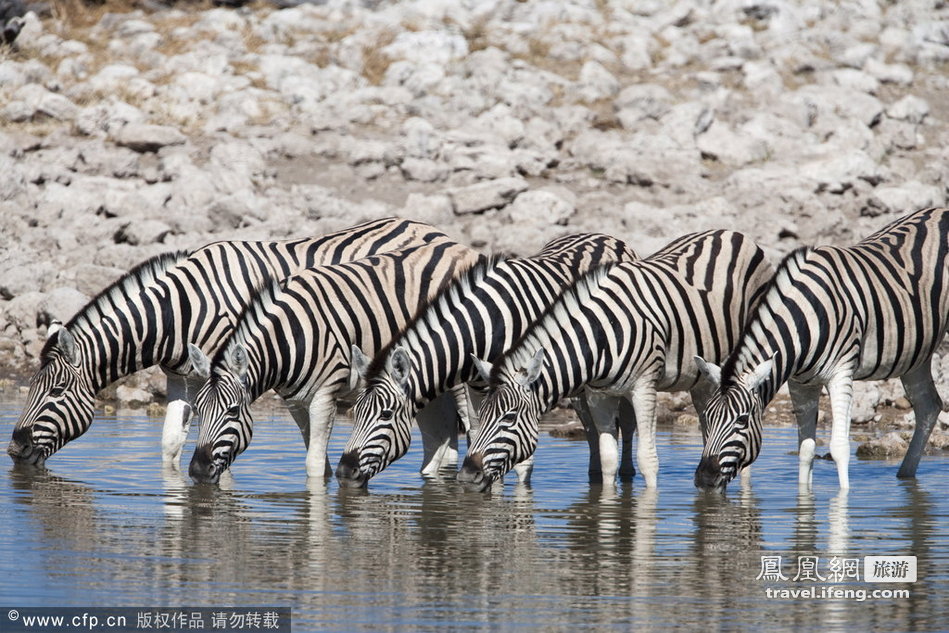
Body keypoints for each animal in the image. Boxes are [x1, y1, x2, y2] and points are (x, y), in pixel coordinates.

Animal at [6, 217, 460, 470]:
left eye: (56, 392)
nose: (12, 451)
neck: (182, 311)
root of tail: (437, 231)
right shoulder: (183, 378)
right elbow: (170, 444)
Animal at [185, 238, 482, 484]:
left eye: (233, 411)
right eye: (198, 409)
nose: (198, 471)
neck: (290, 337)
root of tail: (462, 247)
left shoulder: (325, 396)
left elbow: (314, 464)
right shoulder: (296, 402)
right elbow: (320, 462)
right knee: (439, 433)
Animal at [334, 235, 636, 486]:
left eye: (385, 415)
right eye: (355, 412)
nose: (344, 473)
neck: (485, 327)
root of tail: (606, 236)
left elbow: (520, 460)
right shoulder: (478, 388)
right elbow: (482, 437)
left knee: (627, 424)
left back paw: (627, 474)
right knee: (591, 429)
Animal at [456, 230, 772, 492]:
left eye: (508, 418)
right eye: (482, 415)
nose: (467, 476)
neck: (601, 334)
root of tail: (733, 233)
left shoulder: (644, 389)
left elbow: (648, 460)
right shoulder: (599, 396)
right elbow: (608, 460)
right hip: (703, 377)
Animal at [692, 209, 948, 494]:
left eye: (742, 420)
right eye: (707, 418)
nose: (705, 479)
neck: (806, 321)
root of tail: (939, 211)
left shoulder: (841, 374)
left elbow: (839, 447)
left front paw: (843, 499)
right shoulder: (801, 384)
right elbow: (805, 450)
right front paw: (805, 497)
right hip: (916, 354)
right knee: (928, 406)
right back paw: (905, 476)